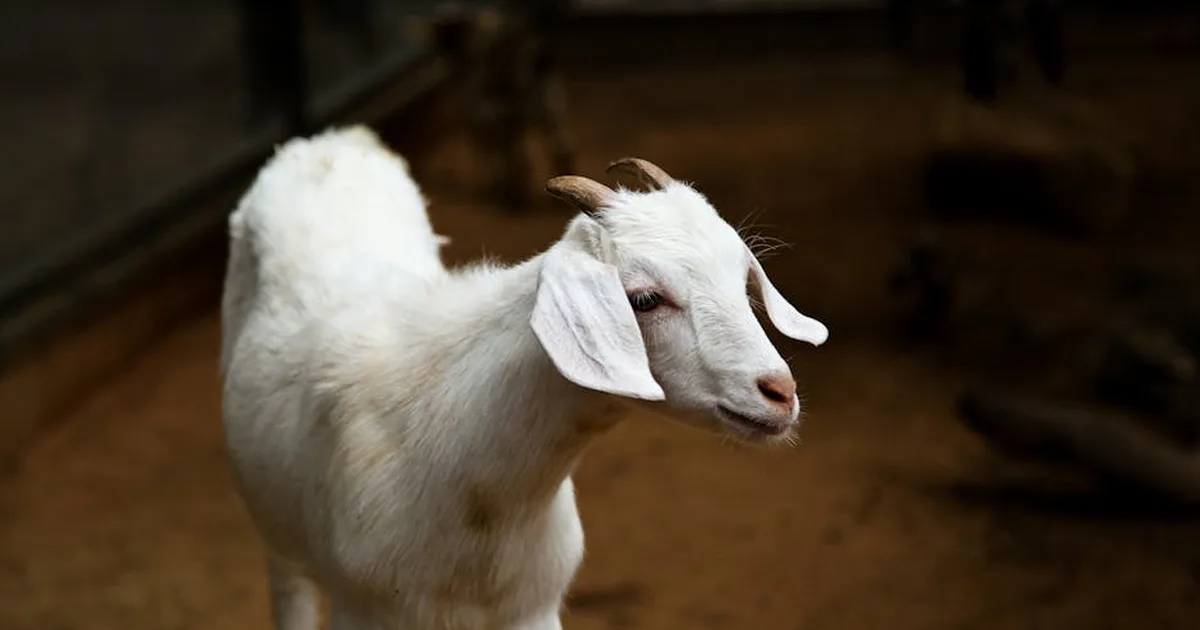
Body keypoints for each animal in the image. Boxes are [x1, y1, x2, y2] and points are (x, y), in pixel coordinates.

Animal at [219, 125, 828, 630]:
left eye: (743, 278)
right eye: (644, 299)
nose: (780, 393)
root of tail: (328, 141)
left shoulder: (530, 610)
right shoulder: (365, 610)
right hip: (277, 534)